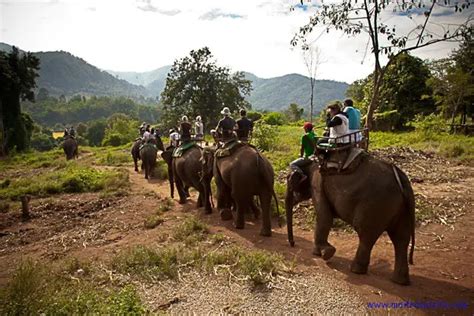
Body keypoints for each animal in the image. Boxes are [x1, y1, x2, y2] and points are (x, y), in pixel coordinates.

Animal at [286, 149, 414, 286]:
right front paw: (322, 252)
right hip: (402, 208)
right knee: (401, 239)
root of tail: (400, 178)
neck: (310, 161)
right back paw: (400, 281)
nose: (293, 244)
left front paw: (323, 253)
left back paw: (355, 270)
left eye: (289, 182)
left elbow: (324, 216)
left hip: (375, 204)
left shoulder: (317, 182)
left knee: (366, 234)